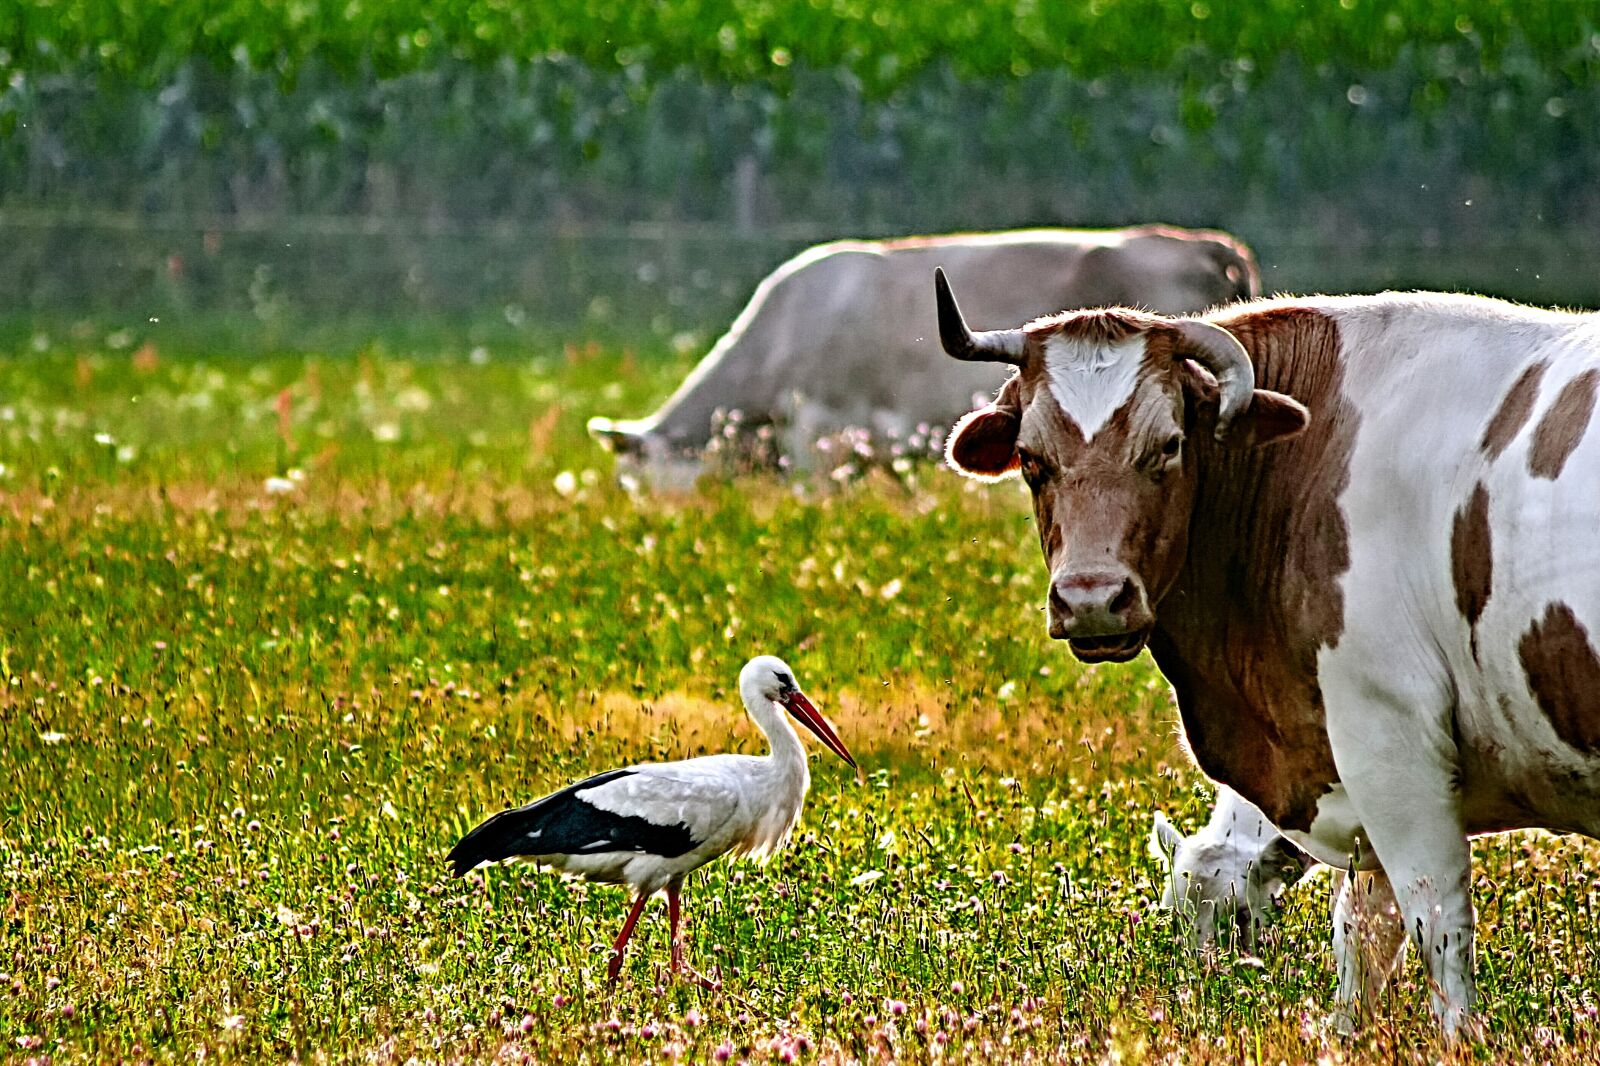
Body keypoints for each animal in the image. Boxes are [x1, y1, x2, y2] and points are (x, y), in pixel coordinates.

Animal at [932, 269, 1600, 1035]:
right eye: (1032, 459)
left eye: (1169, 445)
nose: (1092, 599)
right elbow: (1363, 933)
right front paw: (1346, 1035)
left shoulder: (1389, 745)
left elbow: (1436, 925)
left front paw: (1462, 1041)